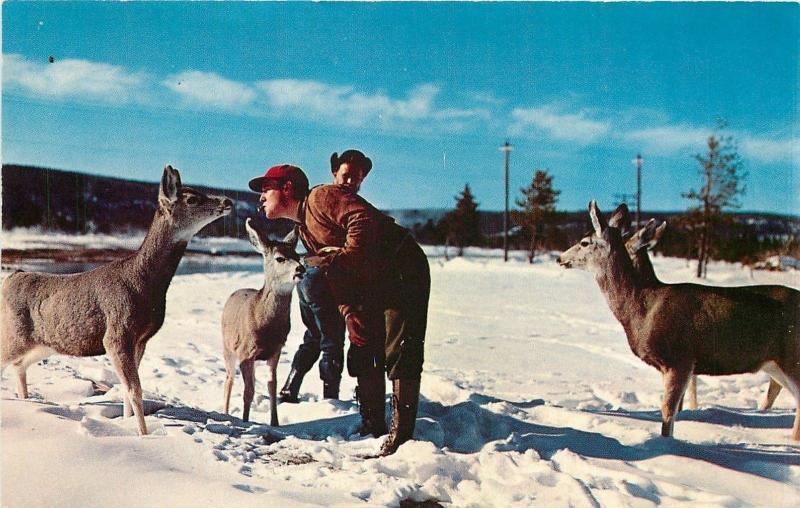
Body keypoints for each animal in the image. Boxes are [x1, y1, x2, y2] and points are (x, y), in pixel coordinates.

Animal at [0, 165, 231, 434]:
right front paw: (143, 434)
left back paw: (26, 401)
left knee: (19, 365)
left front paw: (127, 424)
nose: (228, 201)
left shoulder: (140, 340)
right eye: (192, 199)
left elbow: (126, 392)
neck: (143, 283)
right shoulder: (117, 334)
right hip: (16, 333)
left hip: (44, 343)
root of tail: (11, 278)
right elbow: (135, 390)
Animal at [222, 218, 304, 424]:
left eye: (298, 255)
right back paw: (225, 413)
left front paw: (275, 423)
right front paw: (244, 421)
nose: (301, 269)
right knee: (229, 379)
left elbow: (272, 386)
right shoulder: (245, 352)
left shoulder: (275, 351)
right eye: (280, 258)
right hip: (227, 348)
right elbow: (248, 391)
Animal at [556, 202, 800, 440]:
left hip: (791, 356)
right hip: (774, 363)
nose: (560, 258)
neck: (642, 308)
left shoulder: (679, 358)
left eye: (584, 242)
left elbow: (668, 410)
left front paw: (667, 444)